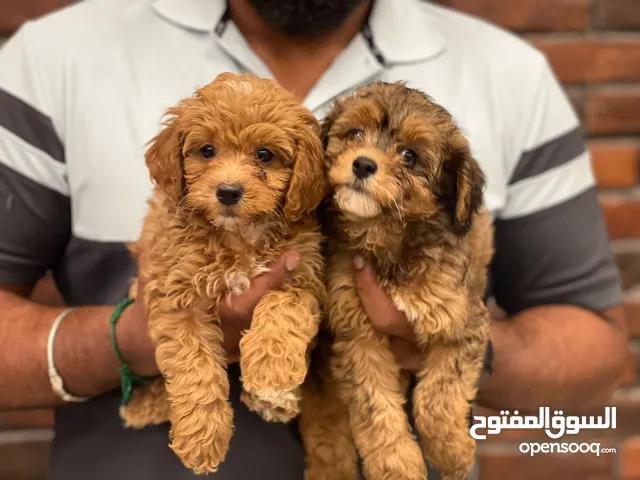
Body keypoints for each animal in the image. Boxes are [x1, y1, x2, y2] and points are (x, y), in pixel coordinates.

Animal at [120, 73, 328, 474]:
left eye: (264, 155)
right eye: (206, 151)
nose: (228, 192)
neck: (239, 235)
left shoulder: (302, 274)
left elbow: (284, 307)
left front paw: (271, 372)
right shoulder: (176, 295)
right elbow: (193, 365)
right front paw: (202, 438)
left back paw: (275, 399)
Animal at [320, 82, 496, 480]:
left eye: (410, 156)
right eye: (354, 133)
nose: (363, 164)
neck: (388, 238)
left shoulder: (461, 321)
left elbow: (438, 397)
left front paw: (451, 452)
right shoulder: (357, 333)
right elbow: (374, 406)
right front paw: (397, 464)